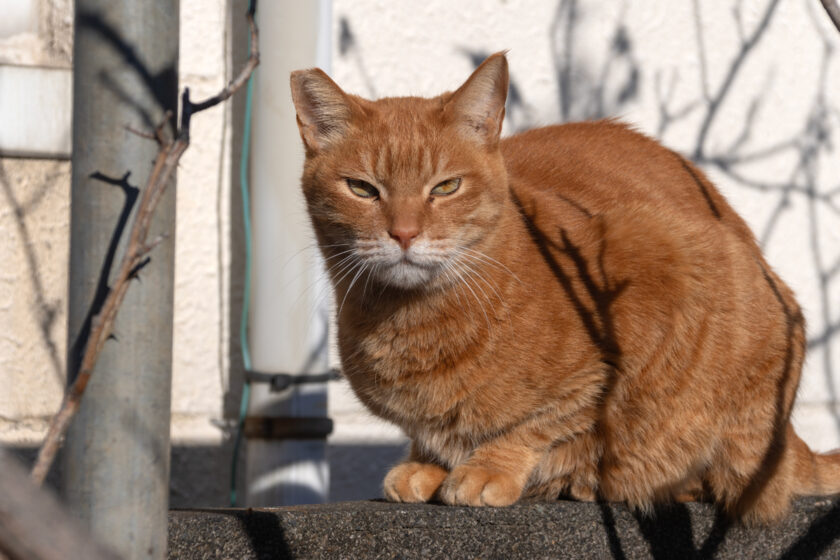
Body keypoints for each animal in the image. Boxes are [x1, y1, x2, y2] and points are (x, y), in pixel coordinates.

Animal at [290, 52, 840, 524]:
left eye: (445, 187)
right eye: (362, 189)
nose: (404, 233)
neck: (411, 323)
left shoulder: (621, 324)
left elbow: (542, 423)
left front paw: (487, 468)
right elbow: (433, 437)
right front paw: (428, 463)